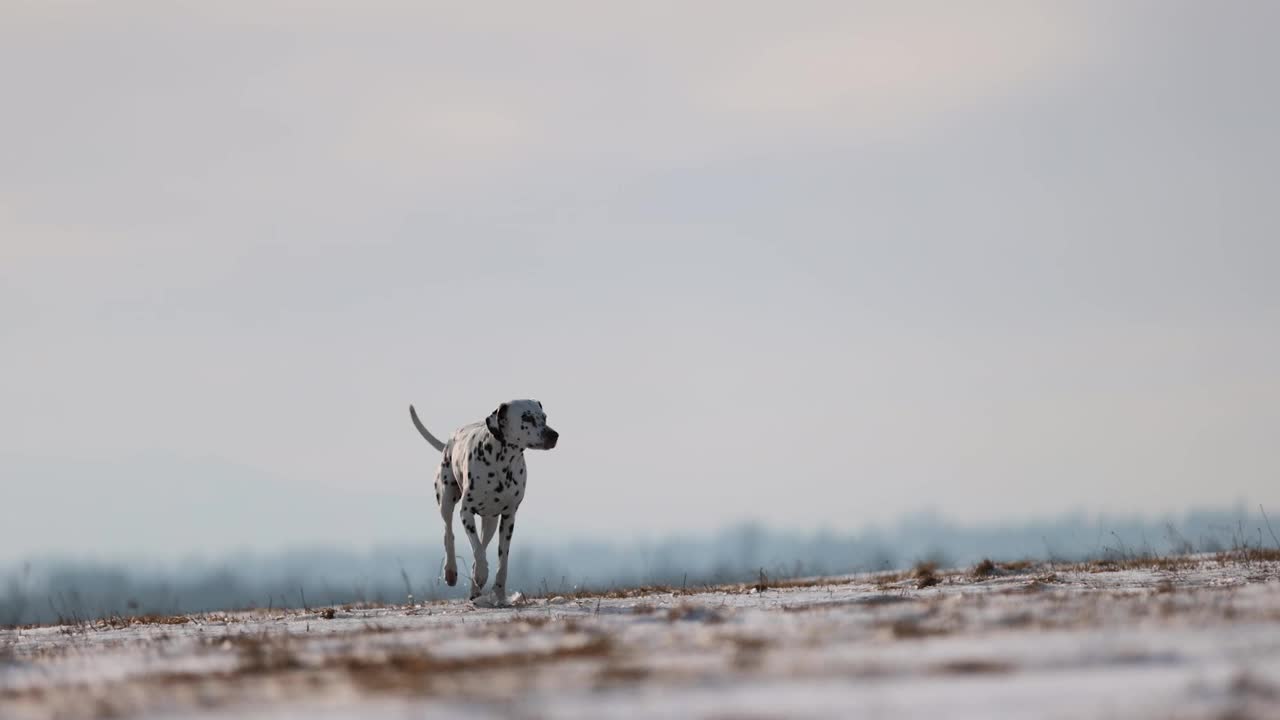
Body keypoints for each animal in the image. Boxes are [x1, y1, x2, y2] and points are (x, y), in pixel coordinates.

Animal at [404, 397, 555, 599]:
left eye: (544, 417)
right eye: (527, 418)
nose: (554, 435)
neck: (502, 464)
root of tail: (449, 442)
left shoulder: (508, 518)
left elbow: (502, 560)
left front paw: (499, 593)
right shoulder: (466, 513)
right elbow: (477, 549)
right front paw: (482, 574)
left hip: (491, 521)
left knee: (482, 542)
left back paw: (475, 587)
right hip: (446, 500)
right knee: (448, 533)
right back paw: (451, 571)